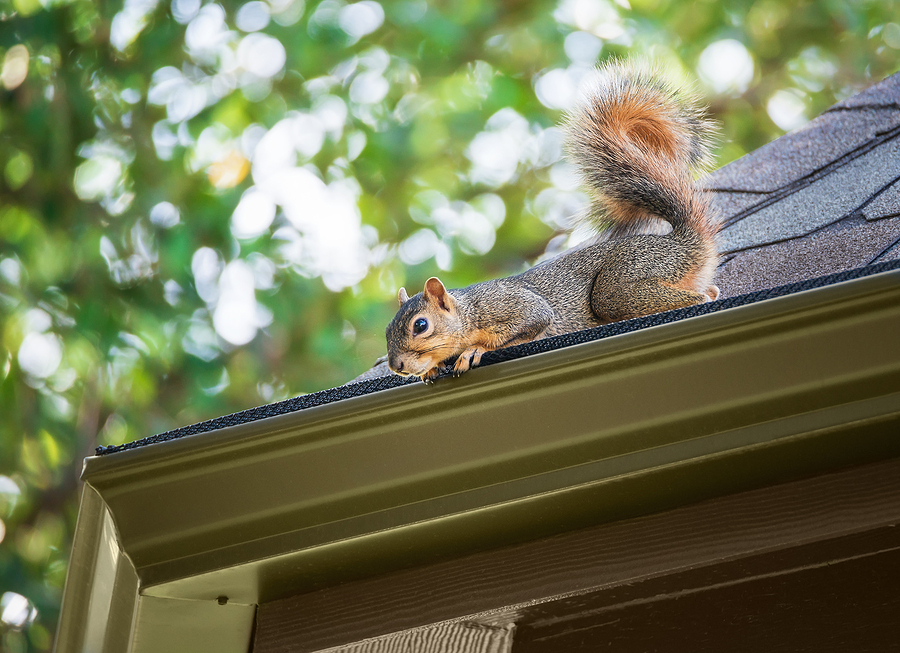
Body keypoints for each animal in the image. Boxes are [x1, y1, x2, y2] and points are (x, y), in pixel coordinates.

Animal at [384, 59, 720, 382]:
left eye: (421, 325)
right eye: (387, 331)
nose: (397, 366)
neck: (470, 312)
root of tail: (684, 243)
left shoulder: (515, 307)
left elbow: (528, 325)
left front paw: (474, 350)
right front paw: (430, 370)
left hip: (624, 282)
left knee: (697, 296)